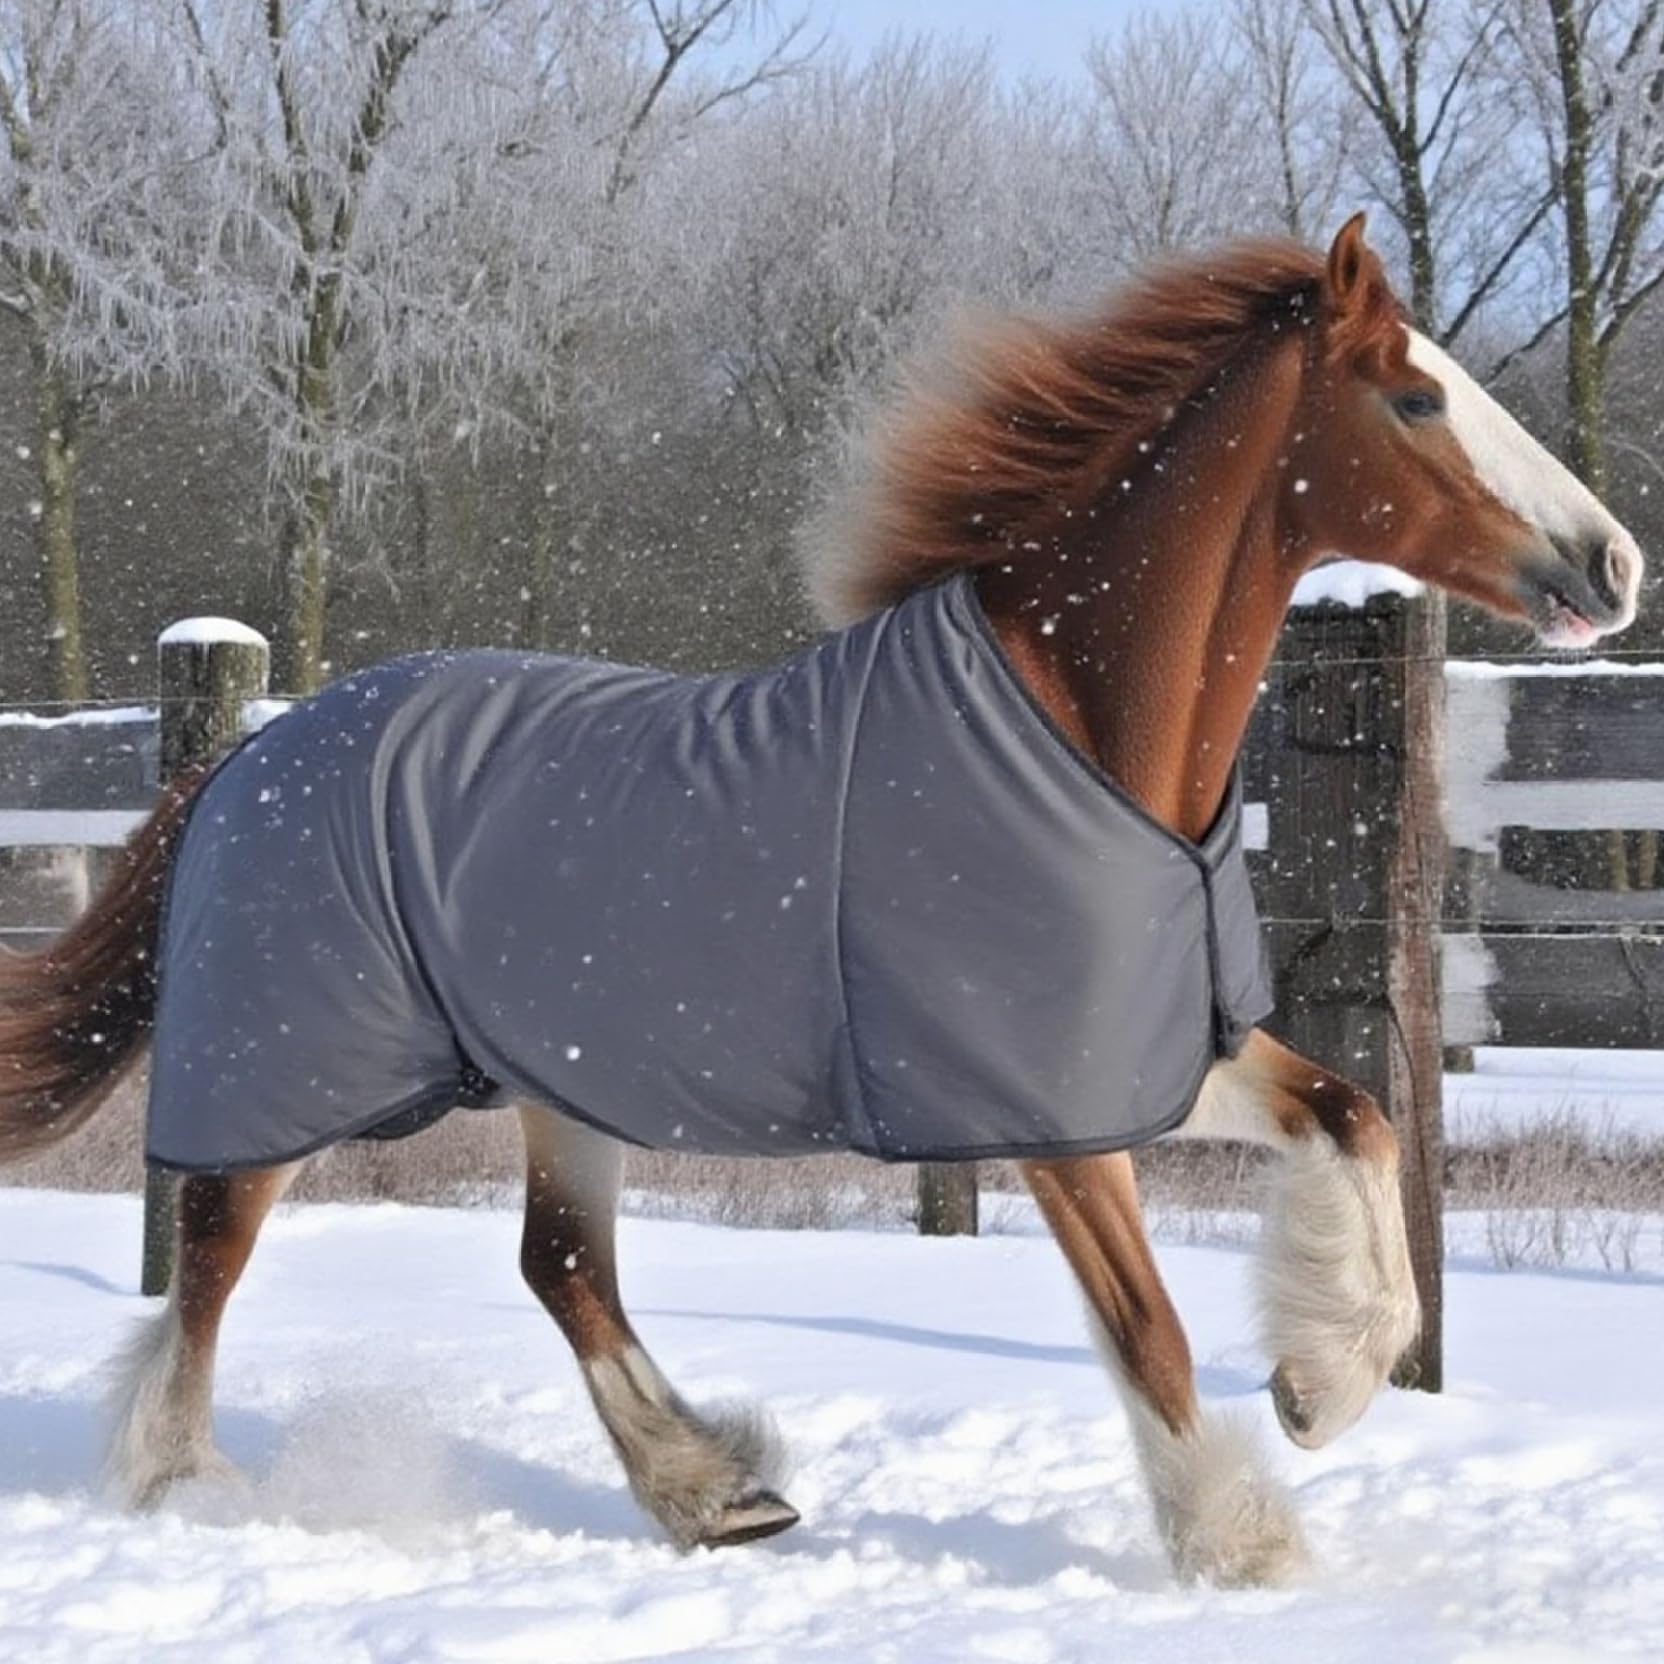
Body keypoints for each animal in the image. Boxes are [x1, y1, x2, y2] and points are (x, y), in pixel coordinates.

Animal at [0, 216, 1643, 1587]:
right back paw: (186, 1485)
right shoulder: (1041, 1114)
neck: (1083, 736)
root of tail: (248, 756)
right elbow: (1148, 1329)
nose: (1613, 563)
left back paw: (717, 1492)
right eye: (1416, 399)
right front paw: (1241, 1543)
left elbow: (1358, 1118)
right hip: (289, 1071)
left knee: (560, 1266)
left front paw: (1325, 1383)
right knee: (211, 1262)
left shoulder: (1160, 1052)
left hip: (560, 1080)